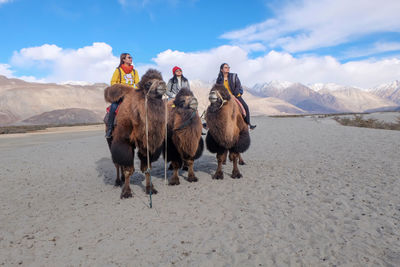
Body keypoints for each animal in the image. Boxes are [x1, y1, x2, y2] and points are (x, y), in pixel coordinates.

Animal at [104, 69, 167, 199]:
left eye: (160, 79)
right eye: (148, 83)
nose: (162, 84)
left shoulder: (146, 144)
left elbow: (147, 168)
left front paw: (150, 189)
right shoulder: (124, 141)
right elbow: (129, 169)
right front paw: (126, 192)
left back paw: (122, 179)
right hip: (110, 140)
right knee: (117, 163)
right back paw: (118, 181)